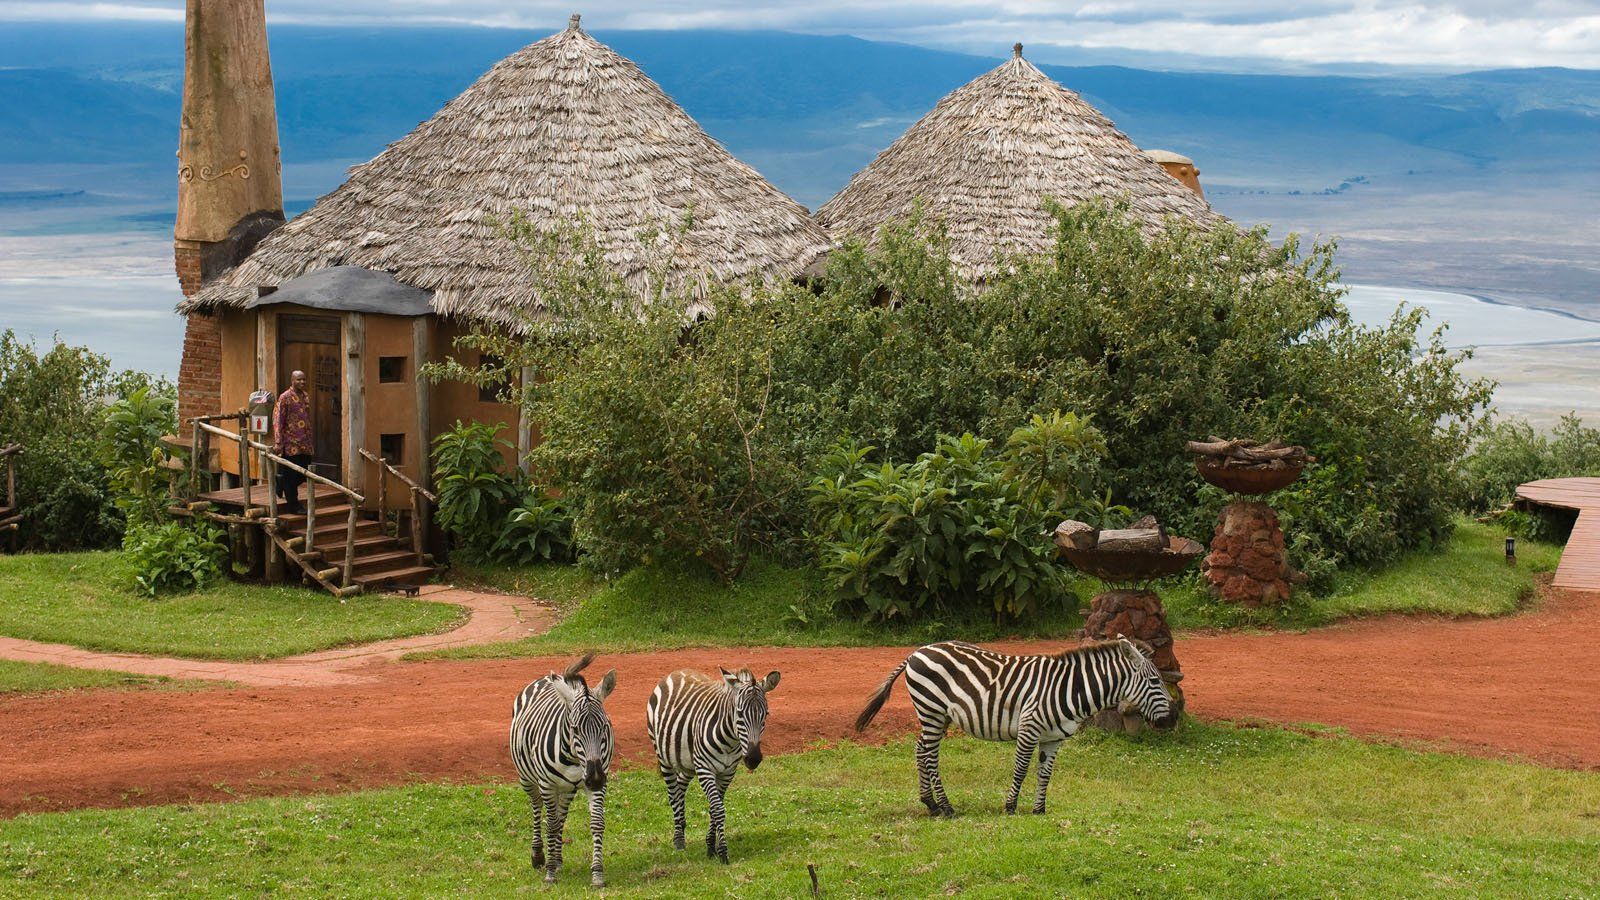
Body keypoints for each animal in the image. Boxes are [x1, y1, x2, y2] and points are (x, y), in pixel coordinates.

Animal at [509, 653, 617, 887]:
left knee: (560, 817)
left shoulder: (597, 781)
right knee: (537, 807)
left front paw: (597, 874)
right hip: (528, 780)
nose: (595, 778)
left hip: (567, 789)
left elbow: (597, 822)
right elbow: (550, 825)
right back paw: (539, 856)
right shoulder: (547, 785)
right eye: (575, 729)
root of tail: (548, 678)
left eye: (605, 727)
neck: (575, 759)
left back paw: (557, 859)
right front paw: (549, 873)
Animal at [646, 667, 780, 863]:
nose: (753, 759)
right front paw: (723, 852)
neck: (730, 741)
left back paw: (682, 826)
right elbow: (718, 809)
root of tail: (677, 672)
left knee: (680, 786)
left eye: (766, 714)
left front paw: (711, 846)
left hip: (688, 761)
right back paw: (679, 840)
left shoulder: (727, 772)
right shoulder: (705, 769)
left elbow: (713, 807)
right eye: (739, 713)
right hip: (664, 758)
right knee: (673, 794)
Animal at [854, 638, 1176, 817]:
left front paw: (1039, 810)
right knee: (931, 756)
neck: (1071, 689)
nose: (1172, 721)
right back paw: (946, 807)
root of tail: (916, 653)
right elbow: (1021, 769)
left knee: (920, 749)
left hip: (936, 715)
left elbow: (1045, 774)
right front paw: (1010, 807)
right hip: (931, 710)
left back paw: (930, 804)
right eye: (1155, 681)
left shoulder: (1053, 739)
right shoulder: (1029, 728)